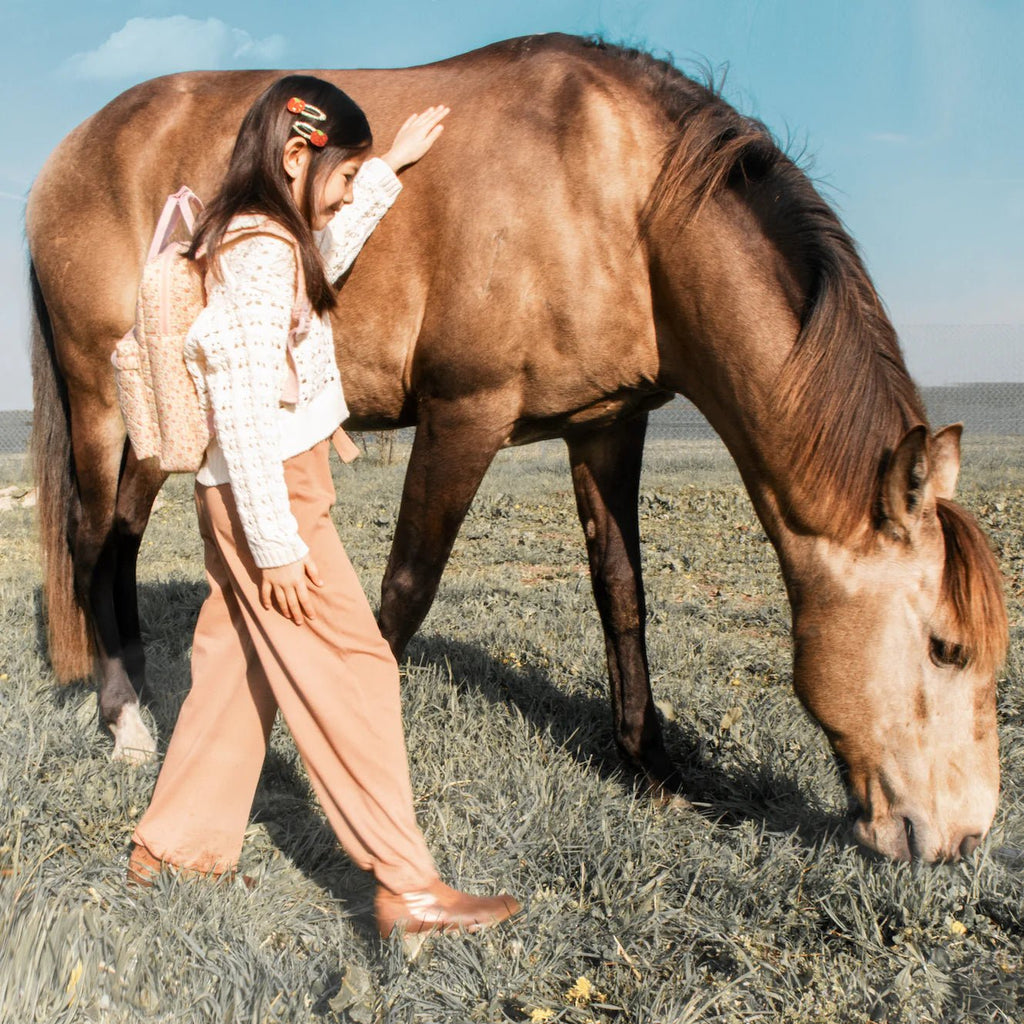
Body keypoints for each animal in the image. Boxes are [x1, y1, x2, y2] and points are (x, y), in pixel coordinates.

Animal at [25, 34, 1007, 864]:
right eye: (945, 648)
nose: (963, 840)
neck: (623, 197)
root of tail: (71, 149)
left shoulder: (607, 424)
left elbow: (622, 593)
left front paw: (651, 766)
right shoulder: (465, 415)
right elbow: (403, 594)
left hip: (164, 426)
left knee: (120, 546)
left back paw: (143, 700)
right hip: (102, 402)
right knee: (89, 543)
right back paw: (123, 721)